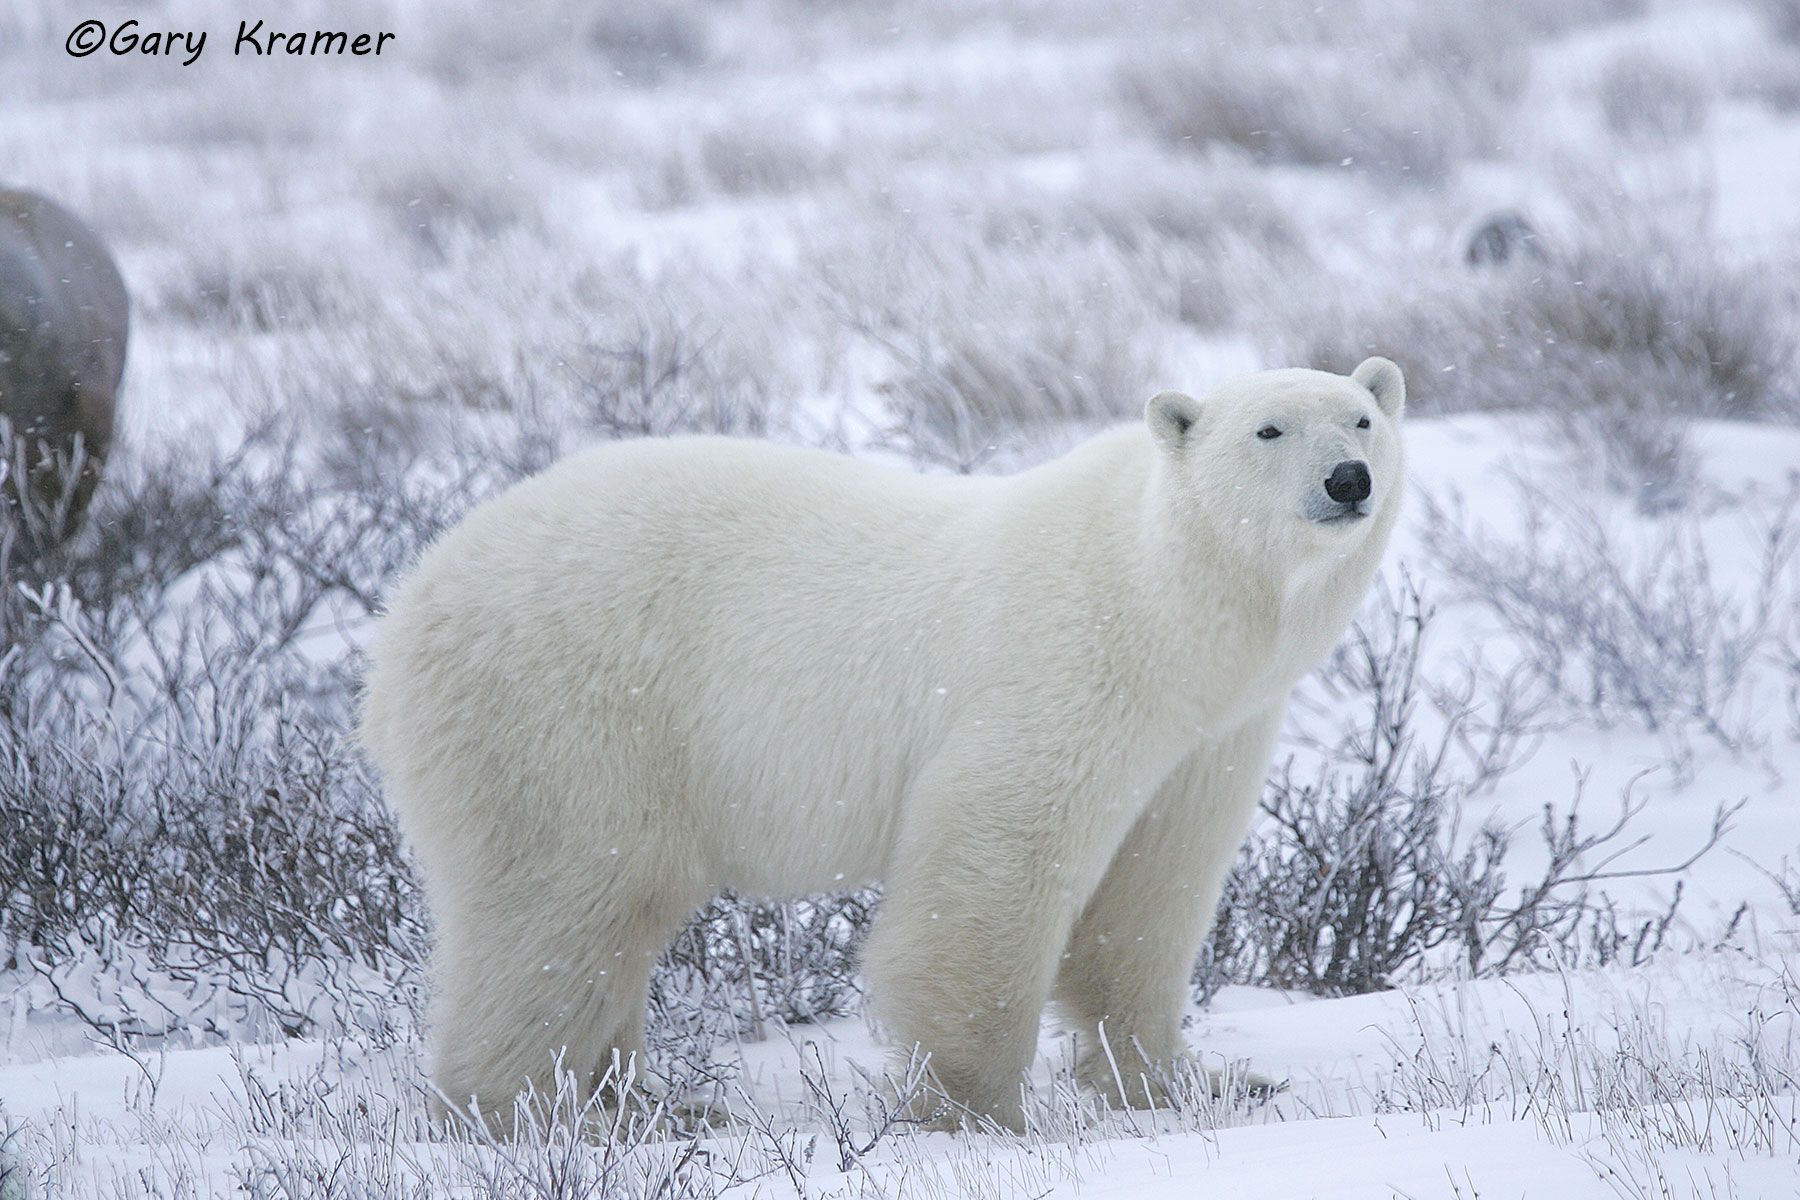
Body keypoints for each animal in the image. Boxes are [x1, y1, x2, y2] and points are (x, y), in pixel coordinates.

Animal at [359, 356, 1406, 1132]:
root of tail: (412, 598)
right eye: (1268, 431)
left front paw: (1189, 1083)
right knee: (561, 906)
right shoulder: (1060, 675)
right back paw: (527, 1113)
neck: (1159, 599)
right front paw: (980, 1111)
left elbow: (1151, 896)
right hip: (570, 709)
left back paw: (649, 1105)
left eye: (1360, 419)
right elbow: (993, 867)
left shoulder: (1208, 737)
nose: (1348, 480)